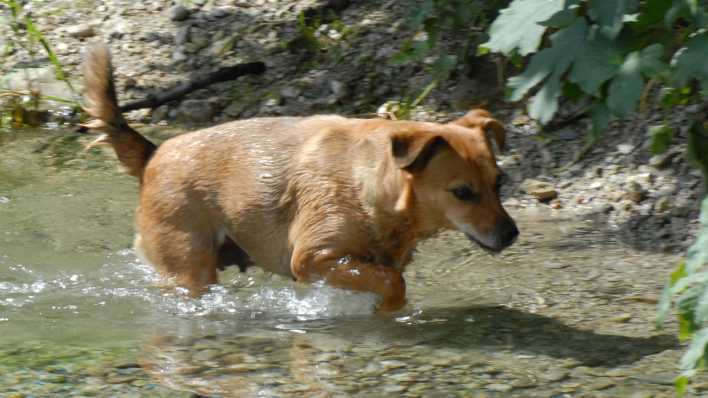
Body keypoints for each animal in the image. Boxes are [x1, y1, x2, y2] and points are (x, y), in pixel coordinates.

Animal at [83, 45, 516, 310]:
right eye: (463, 192)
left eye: (500, 183)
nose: (512, 234)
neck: (369, 184)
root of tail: (155, 154)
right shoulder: (314, 257)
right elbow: (393, 281)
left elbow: (389, 276)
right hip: (189, 268)